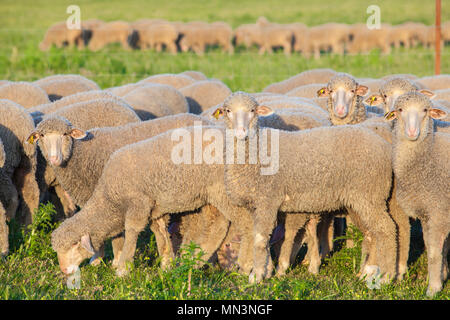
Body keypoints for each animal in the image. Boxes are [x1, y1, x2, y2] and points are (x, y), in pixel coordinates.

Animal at [214, 90, 398, 282]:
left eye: (252, 110)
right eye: (228, 111)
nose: (241, 132)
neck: (256, 150)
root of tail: (384, 146)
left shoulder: (268, 201)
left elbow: (260, 240)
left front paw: (256, 277)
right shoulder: (255, 204)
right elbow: (263, 238)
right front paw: (268, 270)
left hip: (370, 195)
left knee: (386, 229)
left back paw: (386, 276)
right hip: (358, 201)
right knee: (371, 234)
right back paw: (366, 272)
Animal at [384, 91, 450, 296]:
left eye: (425, 110)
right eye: (400, 110)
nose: (412, 132)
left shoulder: (439, 212)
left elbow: (435, 253)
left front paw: (433, 289)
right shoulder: (426, 215)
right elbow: (433, 248)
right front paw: (441, 276)